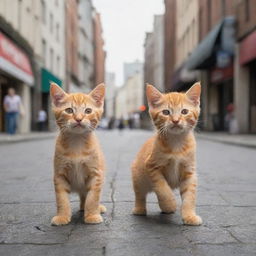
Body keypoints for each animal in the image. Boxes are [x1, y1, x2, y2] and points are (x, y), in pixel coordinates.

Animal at [50, 83, 106, 225]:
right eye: (69, 110)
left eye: (88, 111)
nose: (79, 119)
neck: (77, 142)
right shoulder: (59, 175)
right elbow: (61, 198)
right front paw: (62, 216)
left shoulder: (96, 174)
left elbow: (93, 197)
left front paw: (92, 215)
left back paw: (96, 208)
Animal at [132, 83, 202, 225]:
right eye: (166, 112)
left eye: (184, 111)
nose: (175, 120)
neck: (176, 144)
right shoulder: (151, 166)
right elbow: (162, 187)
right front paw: (169, 204)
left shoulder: (189, 171)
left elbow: (190, 196)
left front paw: (189, 216)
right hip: (138, 176)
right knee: (140, 194)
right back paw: (140, 209)